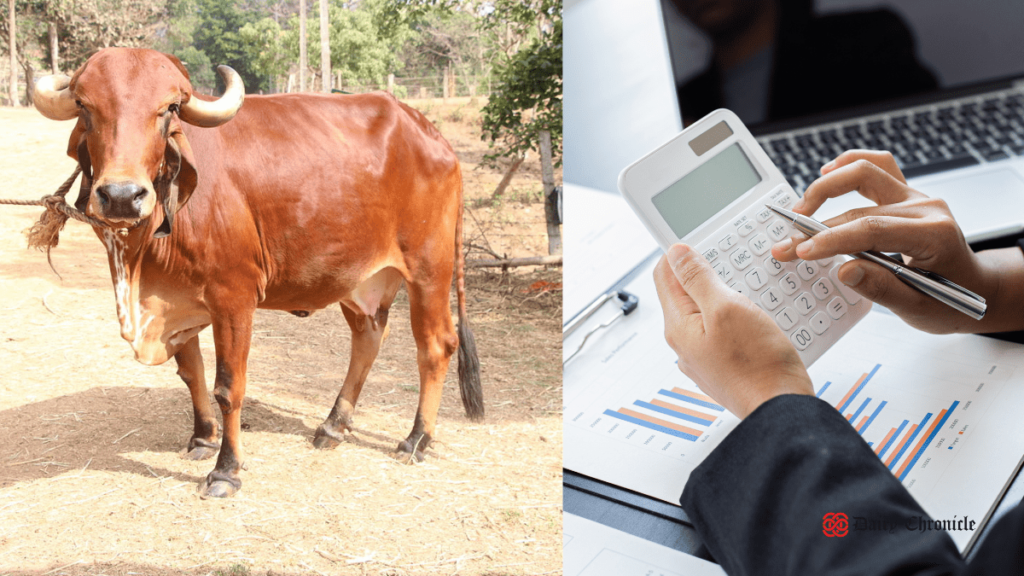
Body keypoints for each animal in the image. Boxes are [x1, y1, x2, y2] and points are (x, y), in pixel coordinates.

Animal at [30, 48, 479, 498]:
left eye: (168, 109)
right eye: (85, 106)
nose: (122, 196)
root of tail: (430, 133)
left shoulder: (234, 299)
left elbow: (229, 388)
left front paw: (226, 470)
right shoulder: (178, 301)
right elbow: (192, 374)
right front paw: (202, 438)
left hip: (428, 270)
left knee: (436, 345)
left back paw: (416, 439)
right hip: (360, 280)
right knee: (368, 339)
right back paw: (333, 426)